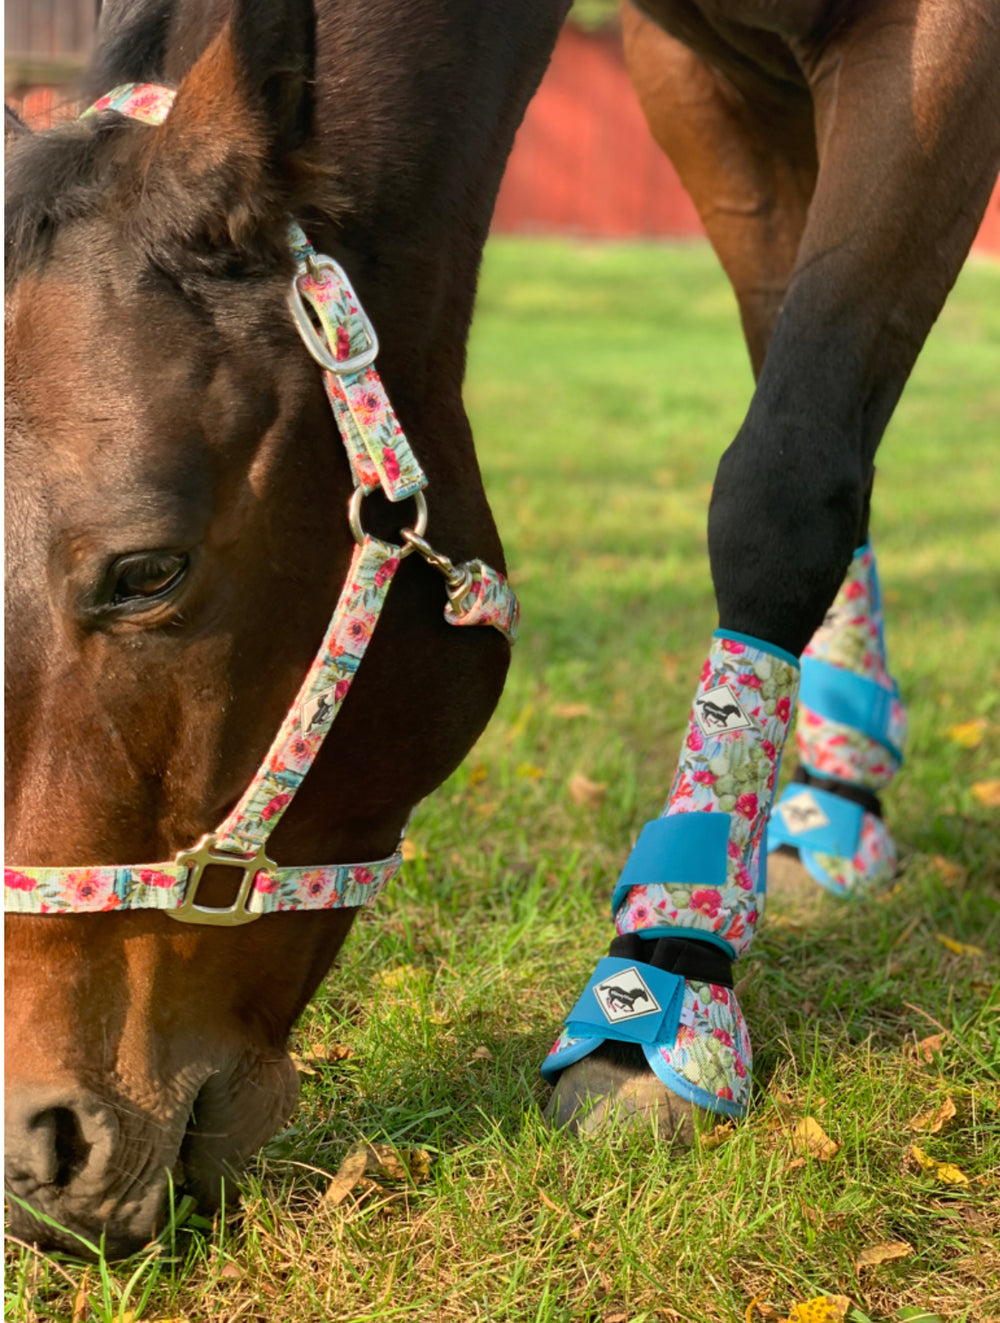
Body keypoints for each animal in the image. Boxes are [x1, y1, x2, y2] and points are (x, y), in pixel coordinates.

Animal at [5, 0, 998, 1261]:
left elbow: (786, 481)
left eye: (146, 573)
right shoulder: (694, 76)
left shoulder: (934, 48)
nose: (35, 1151)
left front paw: (667, 978)